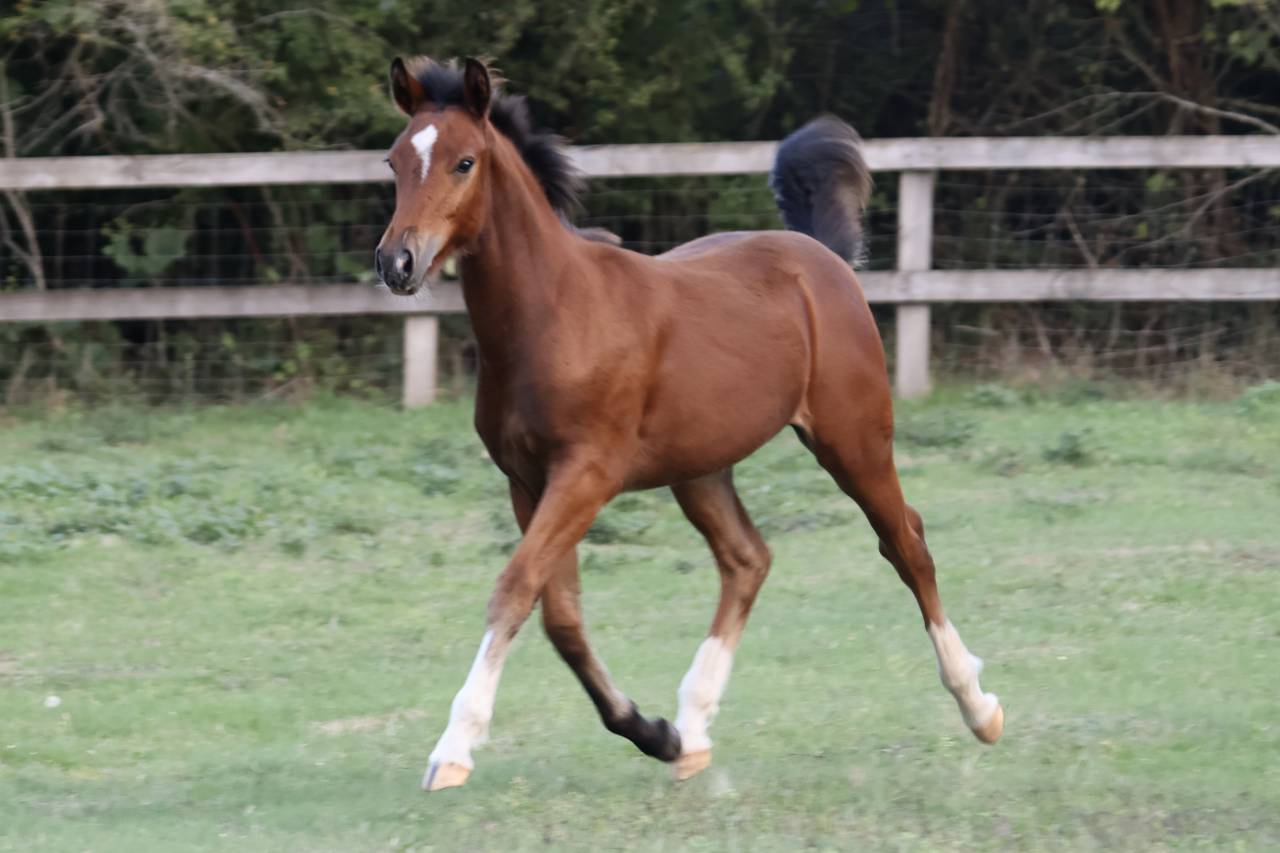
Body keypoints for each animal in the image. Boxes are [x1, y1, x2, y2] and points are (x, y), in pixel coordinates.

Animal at [375, 56, 1004, 792]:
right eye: (394, 161)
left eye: (464, 162)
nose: (397, 263)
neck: (554, 313)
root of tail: (820, 257)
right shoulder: (527, 482)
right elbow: (561, 617)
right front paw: (653, 732)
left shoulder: (586, 474)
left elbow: (514, 590)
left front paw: (452, 749)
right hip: (702, 467)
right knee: (747, 559)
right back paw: (693, 730)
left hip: (853, 438)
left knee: (906, 542)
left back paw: (979, 706)